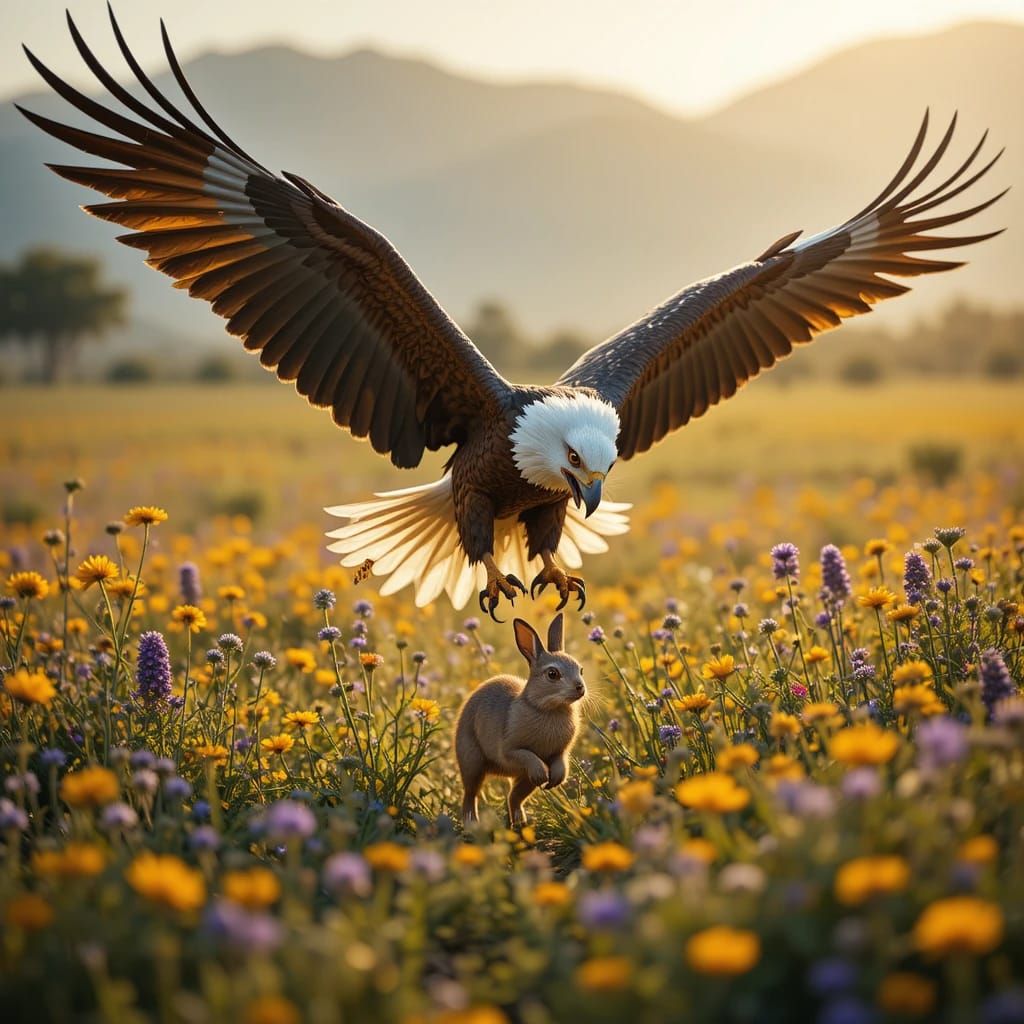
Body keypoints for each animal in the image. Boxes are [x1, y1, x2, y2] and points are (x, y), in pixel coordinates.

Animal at [455, 613, 585, 827]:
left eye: (581, 669)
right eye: (552, 674)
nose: (580, 688)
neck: (544, 707)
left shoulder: (559, 753)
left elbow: (560, 762)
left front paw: (554, 780)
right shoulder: (510, 750)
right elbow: (524, 754)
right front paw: (543, 774)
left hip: (524, 779)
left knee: (514, 797)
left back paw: (520, 823)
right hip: (472, 761)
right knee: (471, 794)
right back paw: (472, 823)